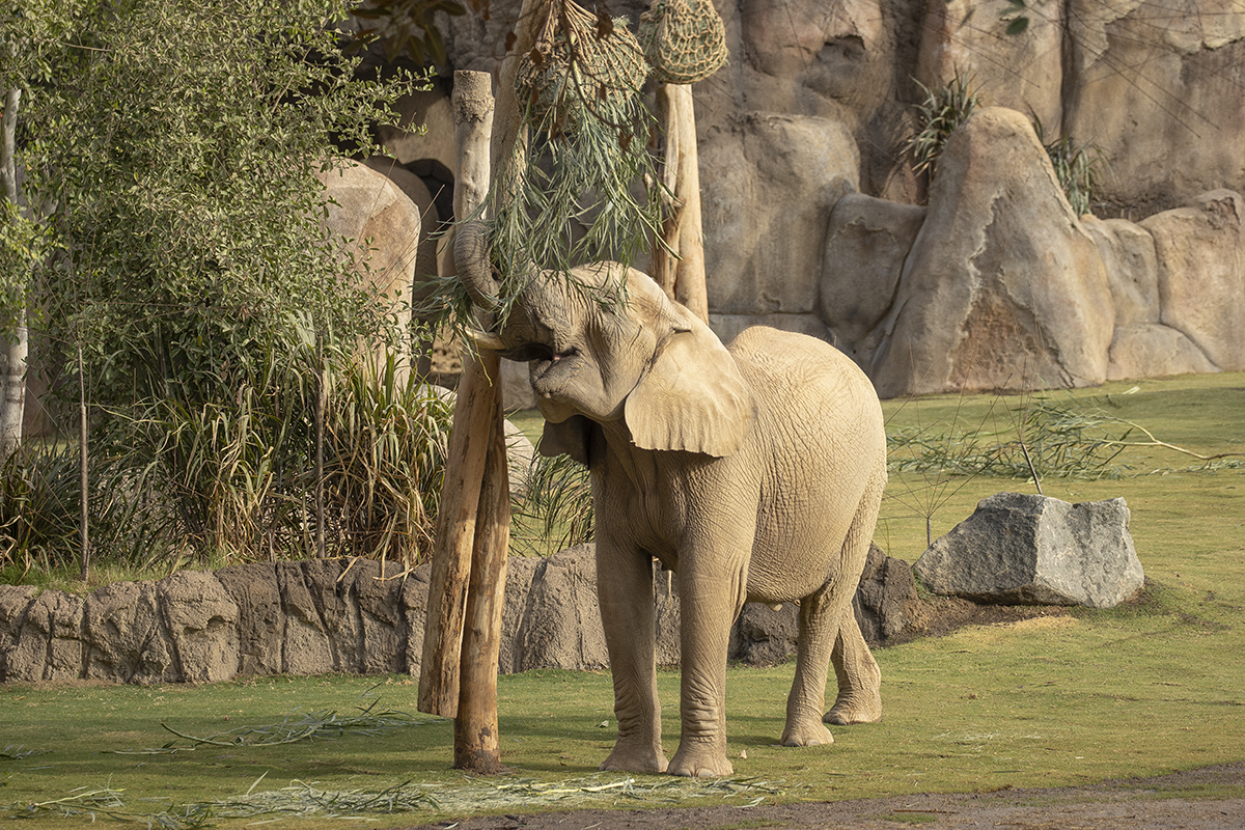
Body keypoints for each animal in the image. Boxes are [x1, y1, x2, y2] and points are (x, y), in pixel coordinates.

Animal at [456, 222, 888, 777]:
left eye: (604, 305)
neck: (680, 324)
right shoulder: (614, 470)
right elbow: (619, 587)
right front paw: (629, 768)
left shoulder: (727, 466)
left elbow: (709, 582)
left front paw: (698, 773)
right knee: (820, 590)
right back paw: (854, 715)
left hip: (869, 481)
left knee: (827, 595)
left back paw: (807, 740)